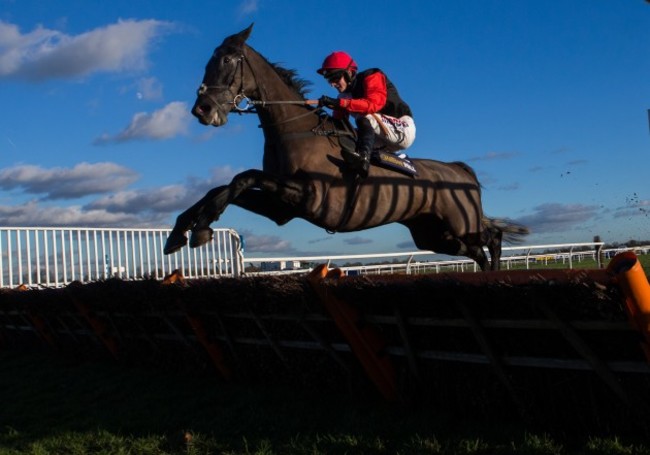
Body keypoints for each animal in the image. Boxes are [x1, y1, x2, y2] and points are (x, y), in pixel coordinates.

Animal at [163, 25, 528, 270]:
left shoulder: (310, 195)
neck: (295, 131)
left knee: (492, 240)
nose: (202, 110)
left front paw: (200, 227)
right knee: (478, 251)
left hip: (460, 224)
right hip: (434, 235)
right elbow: (223, 187)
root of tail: (461, 170)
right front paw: (183, 230)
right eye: (208, 62)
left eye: (227, 60)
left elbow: (242, 177)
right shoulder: (281, 208)